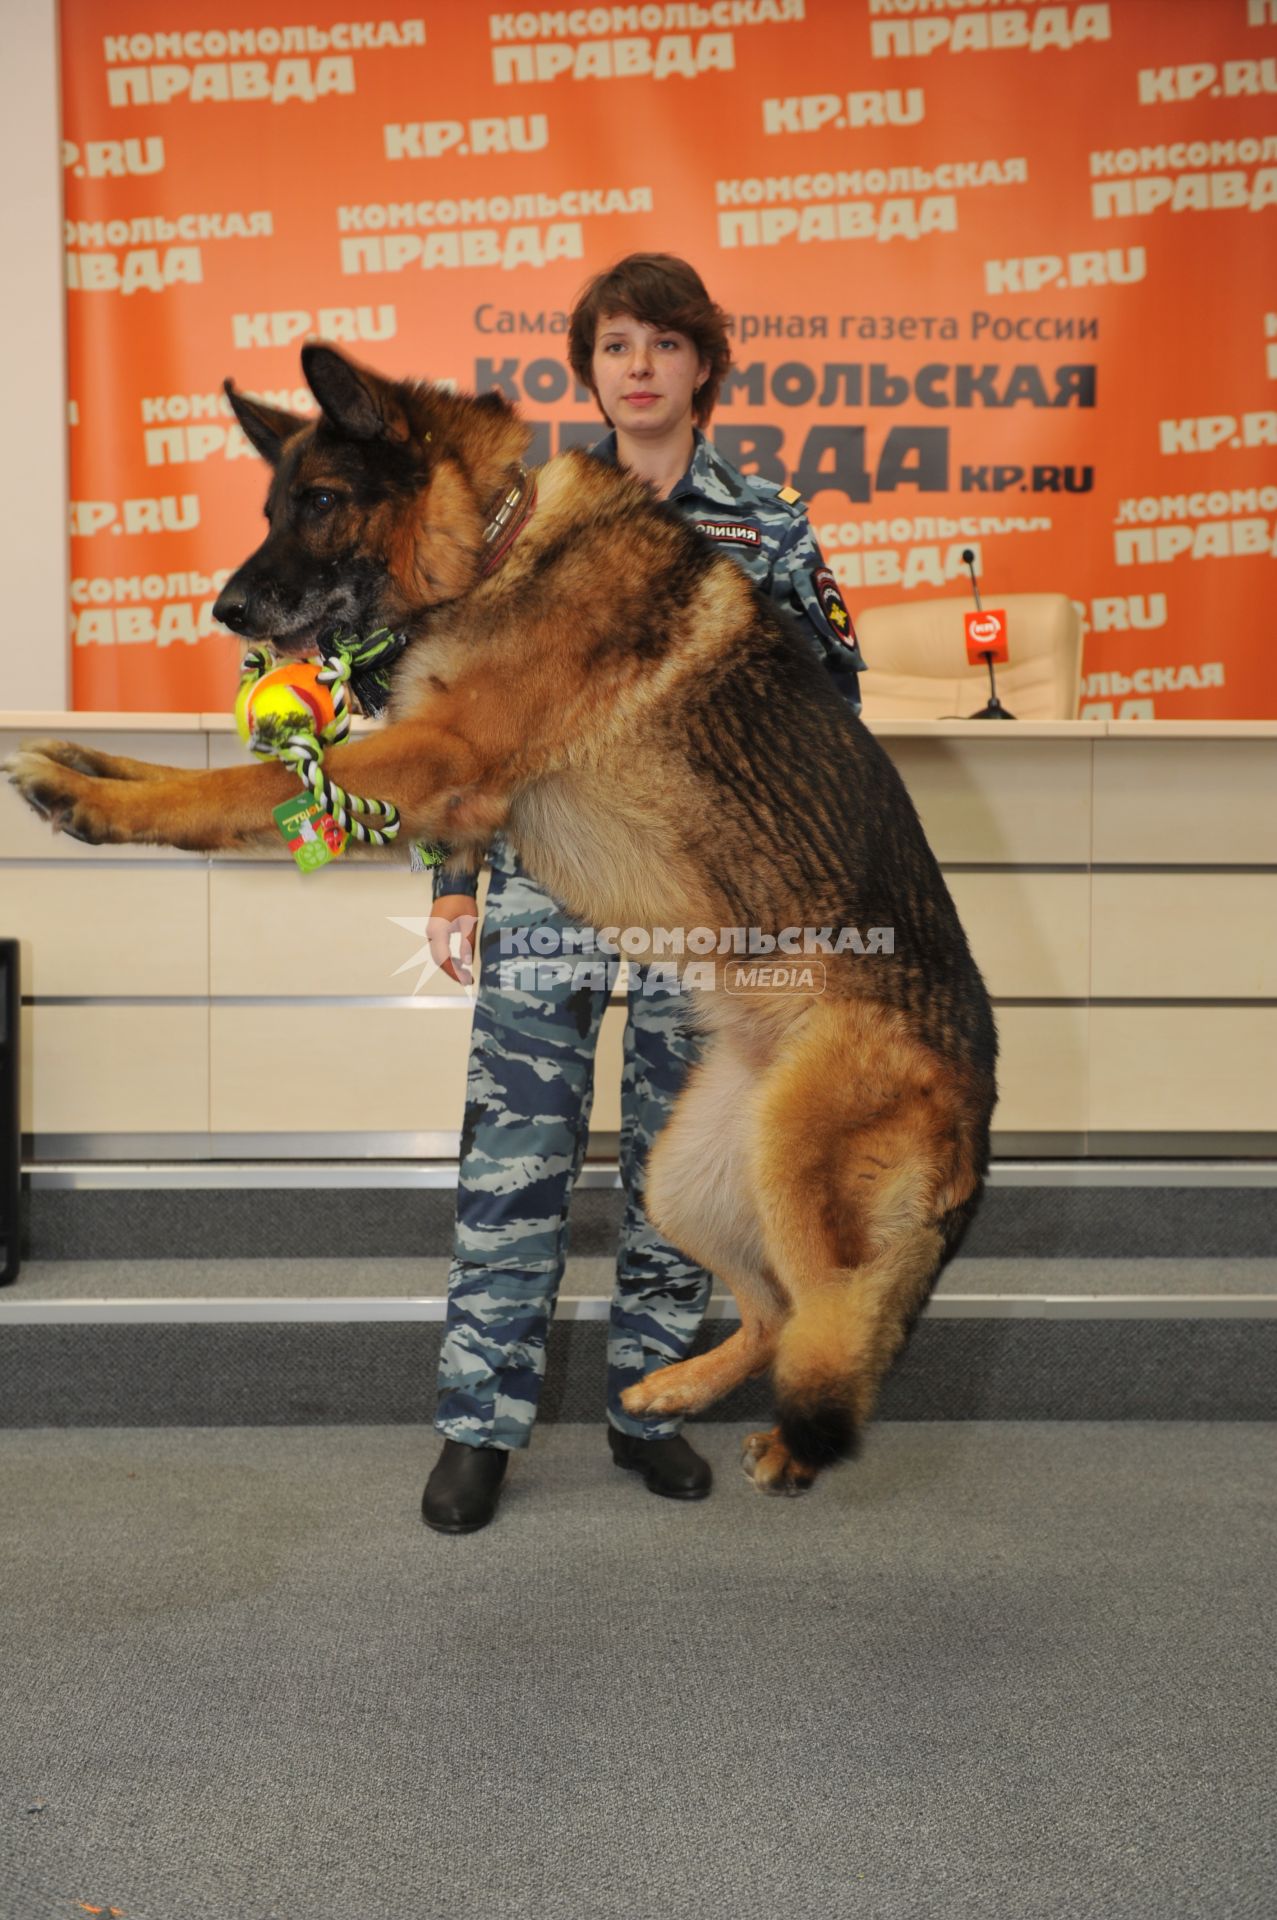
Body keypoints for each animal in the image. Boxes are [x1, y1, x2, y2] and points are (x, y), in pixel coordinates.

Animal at [7, 345, 998, 1489]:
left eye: (322, 501)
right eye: (270, 507)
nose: (225, 611)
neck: (497, 544)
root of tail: (982, 1099)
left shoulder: (434, 755)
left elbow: (231, 789)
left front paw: (91, 800)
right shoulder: (441, 792)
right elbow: (242, 778)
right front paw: (79, 756)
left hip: (794, 1168)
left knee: (829, 1321)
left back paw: (791, 1448)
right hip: (685, 1179)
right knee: (770, 1314)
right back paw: (669, 1392)